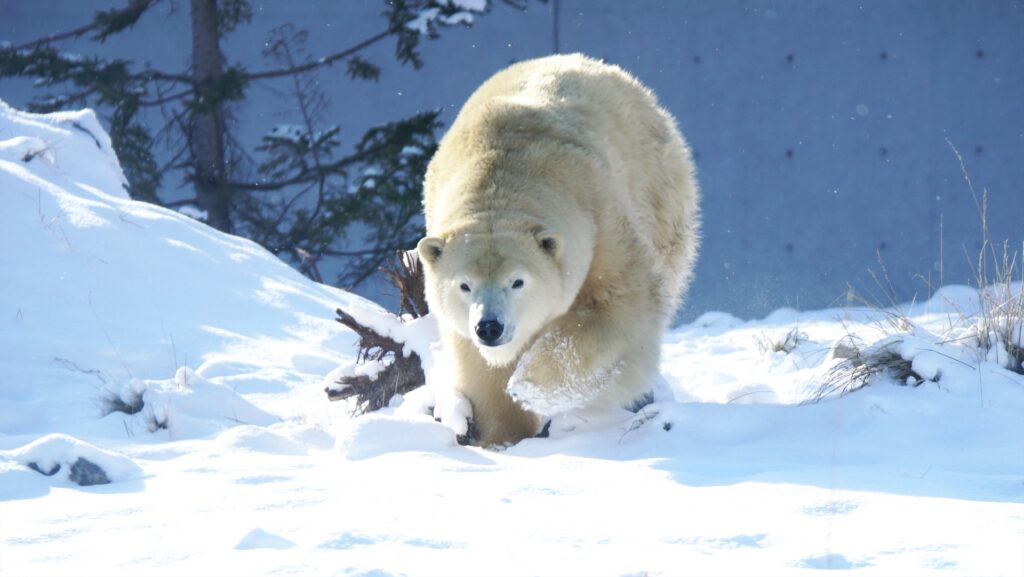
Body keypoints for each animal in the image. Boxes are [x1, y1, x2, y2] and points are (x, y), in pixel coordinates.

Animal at [415, 53, 696, 446]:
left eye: (517, 281)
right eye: (464, 285)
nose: (490, 327)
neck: (501, 171)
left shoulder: (598, 219)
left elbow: (621, 306)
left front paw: (528, 385)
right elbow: (479, 363)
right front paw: (502, 435)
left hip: (660, 194)